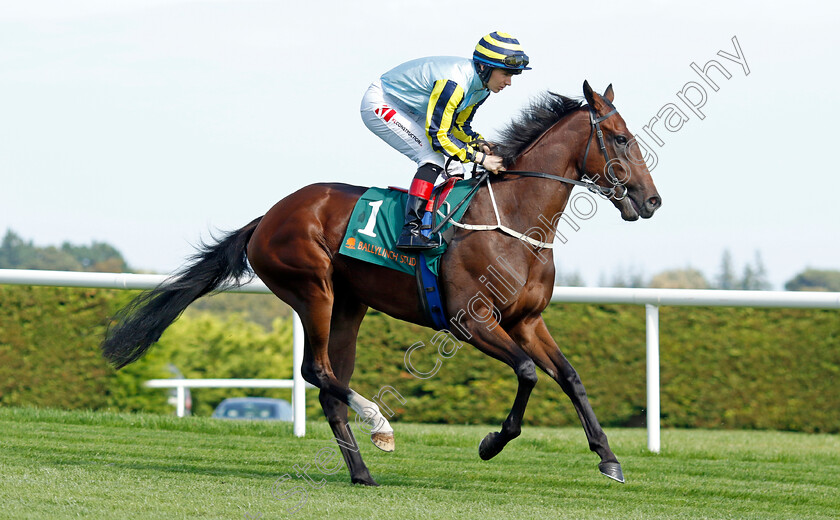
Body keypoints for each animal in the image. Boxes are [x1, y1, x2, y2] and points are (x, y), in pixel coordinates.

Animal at [101, 79, 660, 486]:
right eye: (621, 138)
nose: (652, 200)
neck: (516, 224)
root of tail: (266, 218)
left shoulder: (527, 321)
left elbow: (570, 377)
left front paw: (608, 459)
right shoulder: (471, 321)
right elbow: (526, 373)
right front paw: (490, 443)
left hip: (350, 305)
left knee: (329, 385)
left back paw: (362, 472)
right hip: (314, 291)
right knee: (316, 371)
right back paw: (380, 424)